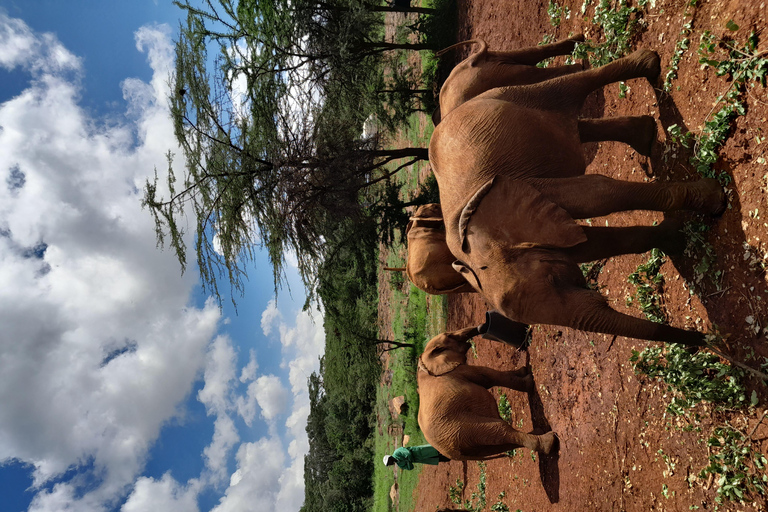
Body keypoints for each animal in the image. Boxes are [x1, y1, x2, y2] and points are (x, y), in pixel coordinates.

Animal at [416, 328, 556, 460]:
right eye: (449, 335)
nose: (482, 327)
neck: (423, 360)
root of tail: (453, 455)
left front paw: (523, 370)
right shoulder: (457, 370)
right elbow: (488, 377)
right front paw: (529, 380)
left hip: (464, 438)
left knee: (498, 444)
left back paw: (539, 432)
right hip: (463, 428)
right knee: (501, 430)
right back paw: (549, 440)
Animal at [428, 48, 728, 346]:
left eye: (552, 279)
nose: (709, 340)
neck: (473, 247)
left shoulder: (530, 185)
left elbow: (597, 194)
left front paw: (715, 202)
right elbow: (592, 244)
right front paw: (675, 238)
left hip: (506, 93)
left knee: (566, 91)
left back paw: (649, 65)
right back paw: (645, 136)